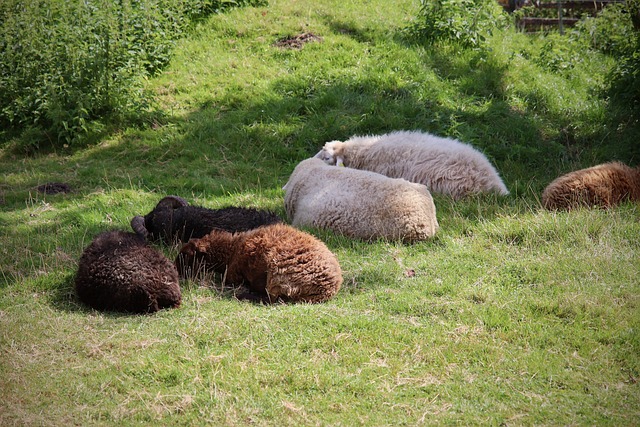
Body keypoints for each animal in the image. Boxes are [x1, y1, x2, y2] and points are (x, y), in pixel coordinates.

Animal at [175, 224, 342, 304]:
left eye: (186, 255)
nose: (176, 271)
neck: (232, 250)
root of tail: (328, 288)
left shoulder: (234, 274)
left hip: (277, 274)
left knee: (272, 299)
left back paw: (243, 295)